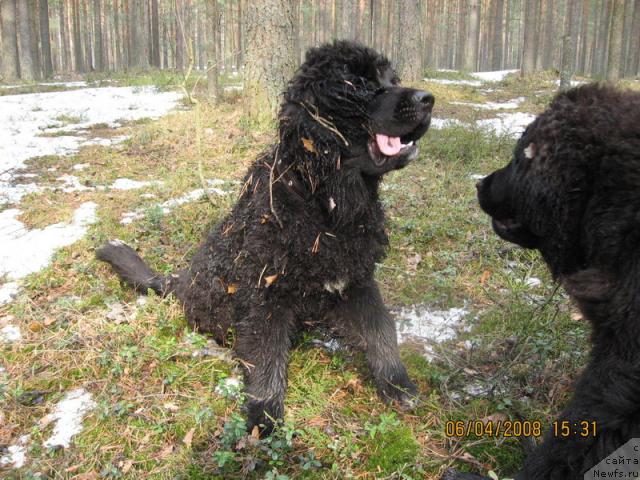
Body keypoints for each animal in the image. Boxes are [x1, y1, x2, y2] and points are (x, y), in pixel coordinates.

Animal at [96, 40, 436, 432]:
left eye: (391, 79)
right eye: (359, 84)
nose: (428, 99)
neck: (325, 204)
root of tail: (179, 281)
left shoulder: (357, 279)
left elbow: (382, 330)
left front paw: (398, 384)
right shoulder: (266, 295)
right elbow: (267, 361)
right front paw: (265, 417)